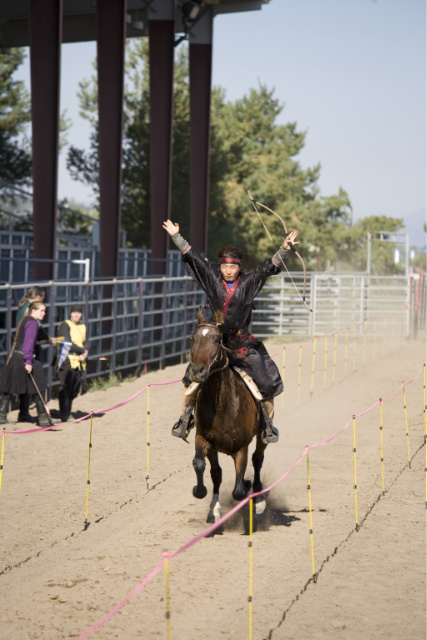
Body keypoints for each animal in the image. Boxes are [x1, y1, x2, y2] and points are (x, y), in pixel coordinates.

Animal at [187, 308, 268, 524]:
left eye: (216, 340)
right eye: (193, 338)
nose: (197, 371)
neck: (224, 406)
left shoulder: (241, 448)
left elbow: (239, 490)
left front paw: (248, 488)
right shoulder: (204, 439)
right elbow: (201, 464)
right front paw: (201, 493)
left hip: (262, 436)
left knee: (258, 459)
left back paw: (258, 498)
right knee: (217, 473)